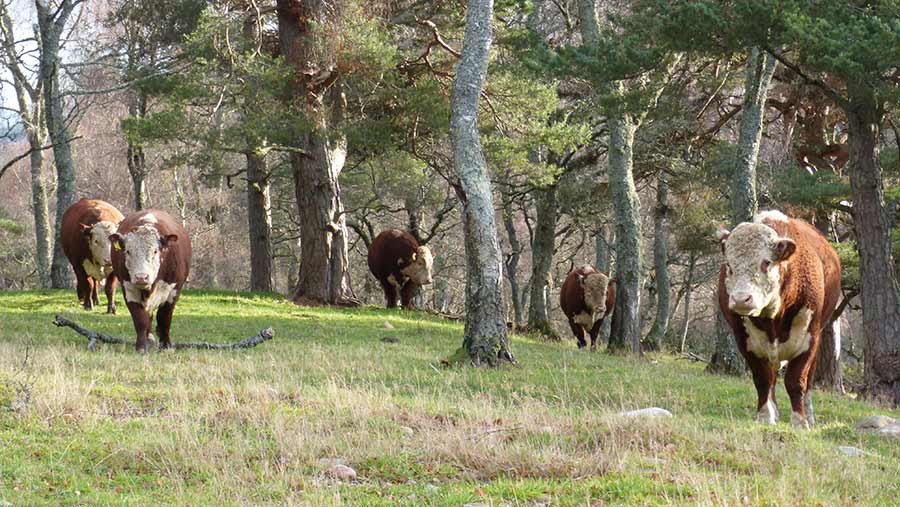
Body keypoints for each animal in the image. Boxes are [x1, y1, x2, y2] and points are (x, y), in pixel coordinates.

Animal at [716, 210, 844, 428]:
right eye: (729, 266)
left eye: (766, 263)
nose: (741, 299)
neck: (773, 320)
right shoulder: (744, 340)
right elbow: (763, 379)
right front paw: (765, 415)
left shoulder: (809, 338)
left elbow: (796, 381)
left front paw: (800, 421)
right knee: (772, 377)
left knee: (809, 379)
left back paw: (809, 414)